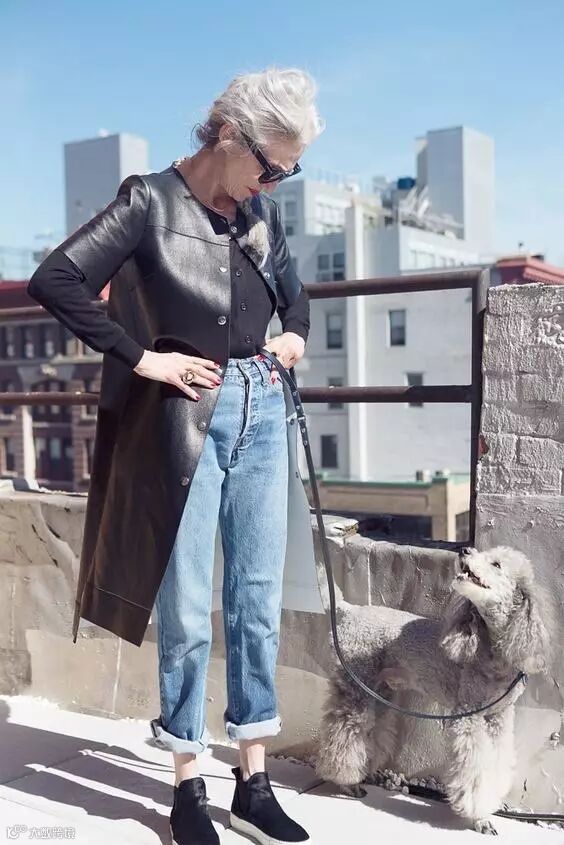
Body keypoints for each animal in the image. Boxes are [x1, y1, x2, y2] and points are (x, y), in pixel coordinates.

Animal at [314, 546, 552, 834]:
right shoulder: (469, 716)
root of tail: (348, 610)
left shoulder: (497, 719)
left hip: (378, 691)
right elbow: (475, 771)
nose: (464, 549)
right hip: (356, 689)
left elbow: (495, 764)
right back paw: (346, 782)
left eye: (496, 564)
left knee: (370, 731)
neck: (492, 652)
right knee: (344, 735)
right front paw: (480, 817)